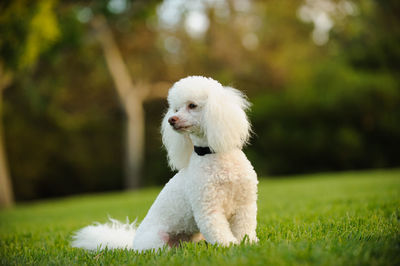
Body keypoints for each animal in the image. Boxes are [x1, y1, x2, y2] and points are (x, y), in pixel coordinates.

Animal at [72, 75, 260, 251]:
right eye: (175, 109)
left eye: (192, 105)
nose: (172, 119)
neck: (213, 154)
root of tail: (132, 245)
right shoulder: (208, 209)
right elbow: (219, 232)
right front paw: (230, 246)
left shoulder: (245, 204)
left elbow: (245, 229)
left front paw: (248, 243)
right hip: (157, 239)